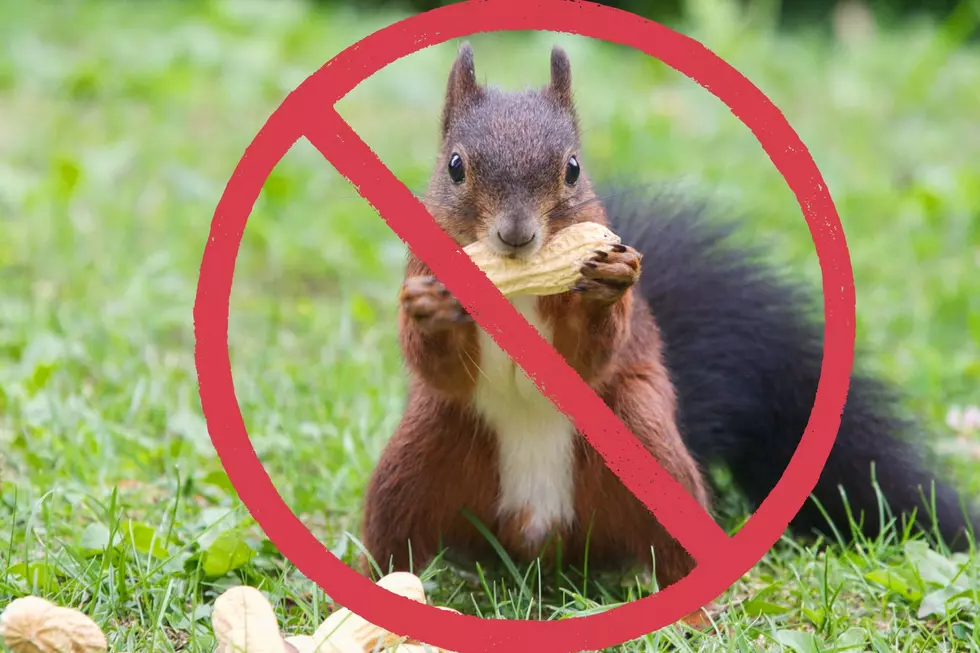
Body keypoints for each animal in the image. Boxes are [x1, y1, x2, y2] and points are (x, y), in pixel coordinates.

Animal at [360, 42, 978, 605]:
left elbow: (593, 352)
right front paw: (431, 309)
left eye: (573, 169)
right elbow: (438, 365)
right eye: (455, 166)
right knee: (393, 537)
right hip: (418, 459)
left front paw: (606, 286)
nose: (516, 235)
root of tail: (540, 546)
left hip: (647, 437)